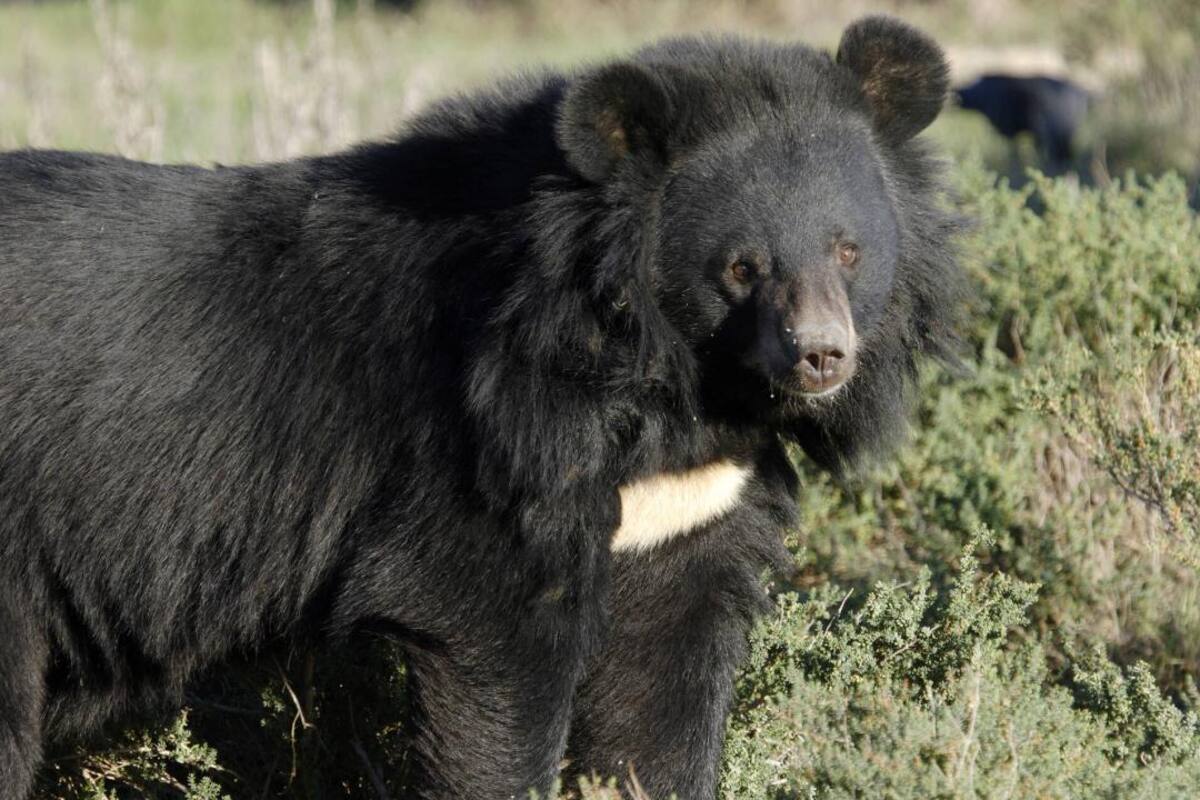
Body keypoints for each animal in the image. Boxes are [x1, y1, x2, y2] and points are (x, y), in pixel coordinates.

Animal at [0, 15, 962, 800]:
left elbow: (664, 684)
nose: (822, 357)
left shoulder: (692, 500)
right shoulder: (483, 446)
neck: (666, 379)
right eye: (740, 267)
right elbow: (495, 648)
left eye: (848, 251)